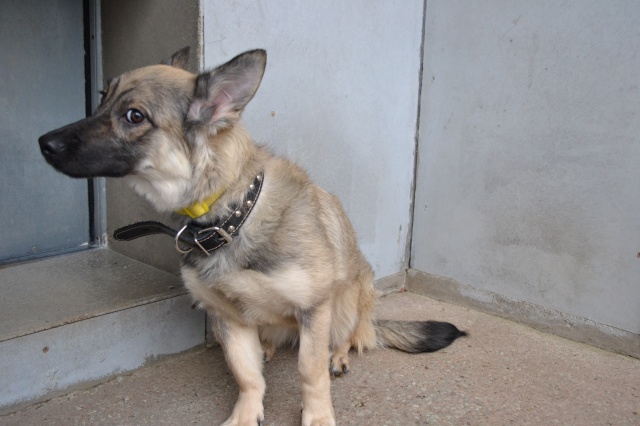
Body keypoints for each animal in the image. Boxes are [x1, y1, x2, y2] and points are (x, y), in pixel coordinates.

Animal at [38, 47, 466, 426]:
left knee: (348, 337)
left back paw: (339, 355)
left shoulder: (314, 309)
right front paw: (247, 412)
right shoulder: (228, 318)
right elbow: (246, 375)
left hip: (346, 304)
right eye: (101, 97)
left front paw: (318, 415)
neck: (231, 217)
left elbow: (309, 371)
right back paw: (268, 348)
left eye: (134, 116)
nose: (44, 143)